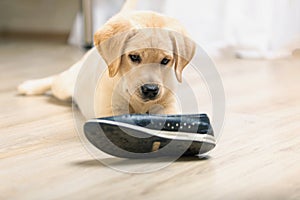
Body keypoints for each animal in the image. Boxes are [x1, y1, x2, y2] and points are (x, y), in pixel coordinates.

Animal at [18, 0, 195, 119]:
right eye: (134, 57)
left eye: (165, 60)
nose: (151, 89)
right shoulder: (110, 110)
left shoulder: (168, 102)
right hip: (64, 86)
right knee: (56, 78)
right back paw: (29, 86)